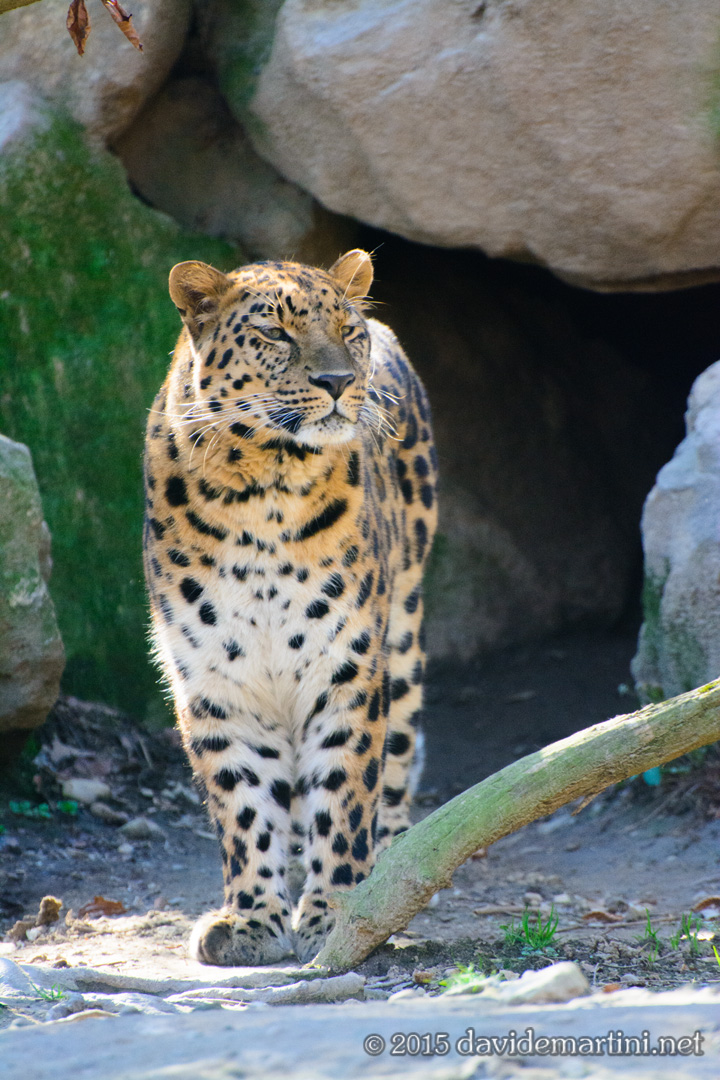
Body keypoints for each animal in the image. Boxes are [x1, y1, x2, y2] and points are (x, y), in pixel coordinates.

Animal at [143, 249, 438, 965]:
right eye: (276, 333)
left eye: (346, 330)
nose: (338, 380)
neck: (264, 491)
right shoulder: (217, 679)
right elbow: (244, 804)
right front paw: (252, 919)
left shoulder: (346, 667)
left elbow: (344, 795)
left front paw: (336, 911)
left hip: (404, 637)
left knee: (394, 766)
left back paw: (392, 869)